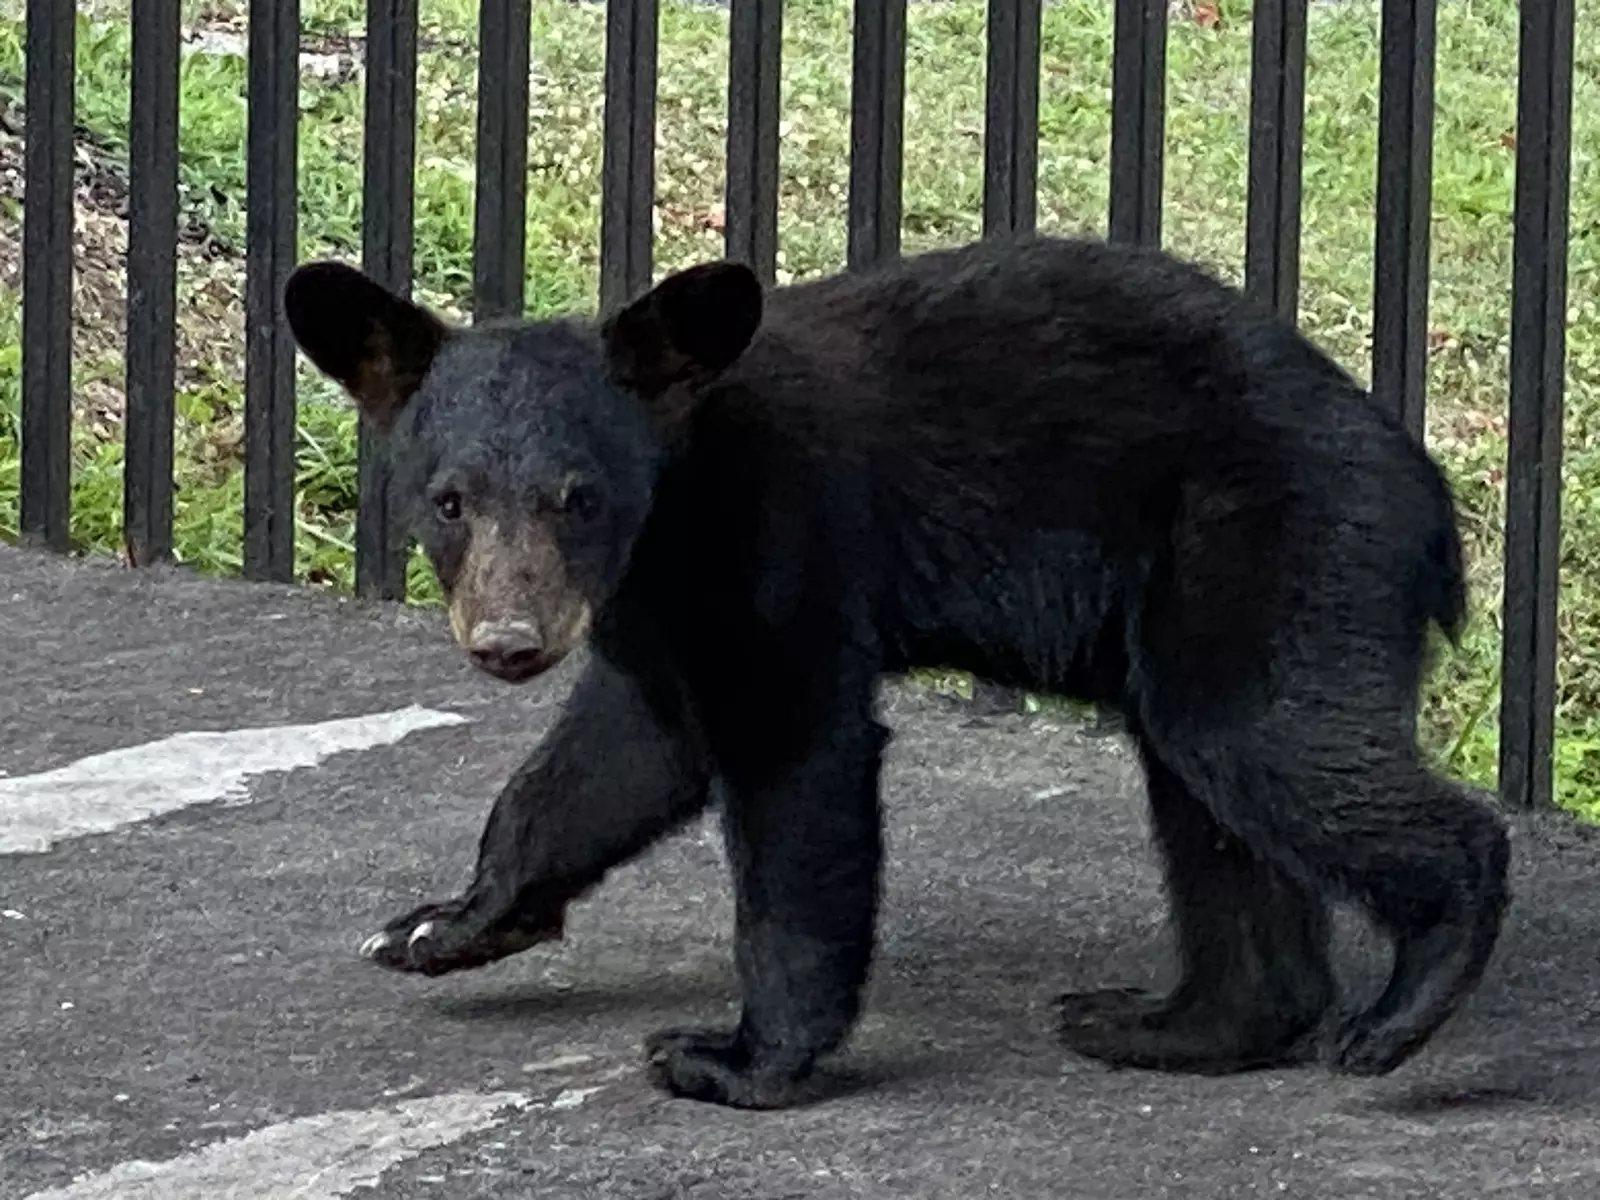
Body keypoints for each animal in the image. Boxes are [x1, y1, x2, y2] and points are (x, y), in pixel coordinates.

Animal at [284, 230, 1510, 1113]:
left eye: (577, 496)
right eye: (451, 499)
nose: (509, 640)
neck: (678, 507)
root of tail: (1429, 499)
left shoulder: (787, 534)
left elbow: (795, 765)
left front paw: (733, 1057)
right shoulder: (657, 608)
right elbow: (619, 754)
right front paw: (445, 922)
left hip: (1276, 543)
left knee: (1263, 740)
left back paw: (1405, 999)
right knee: (1208, 796)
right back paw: (1164, 1022)